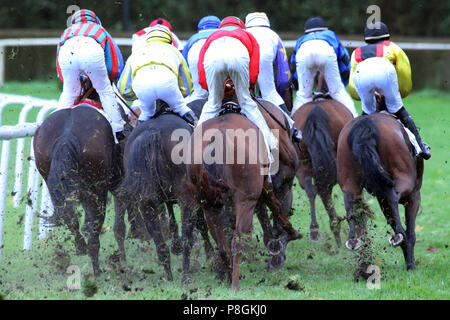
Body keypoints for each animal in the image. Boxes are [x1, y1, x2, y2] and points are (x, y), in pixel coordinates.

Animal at [336, 112, 424, 270]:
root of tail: (365, 125)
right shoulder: (414, 196)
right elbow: (411, 232)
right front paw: (410, 264)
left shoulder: (381, 199)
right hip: (404, 178)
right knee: (393, 195)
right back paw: (399, 235)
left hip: (348, 180)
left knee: (350, 204)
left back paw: (353, 239)